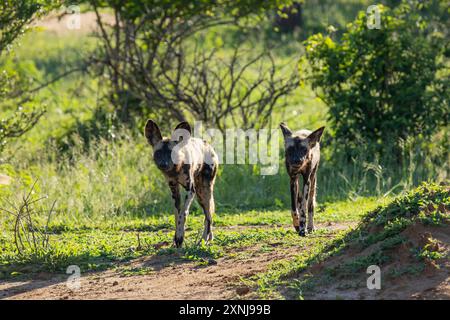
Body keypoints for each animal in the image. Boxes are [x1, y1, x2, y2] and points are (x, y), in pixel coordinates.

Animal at [144, 120, 218, 248]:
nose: (163, 164)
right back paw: (209, 238)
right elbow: (176, 215)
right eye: (158, 153)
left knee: (208, 216)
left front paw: (180, 237)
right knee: (208, 216)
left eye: (171, 153)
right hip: (200, 195)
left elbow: (183, 213)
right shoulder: (174, 191)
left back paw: (204, 241)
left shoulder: (190, 190)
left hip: (203, 192)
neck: (176, 170)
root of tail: (208, 145)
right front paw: (176, 240)